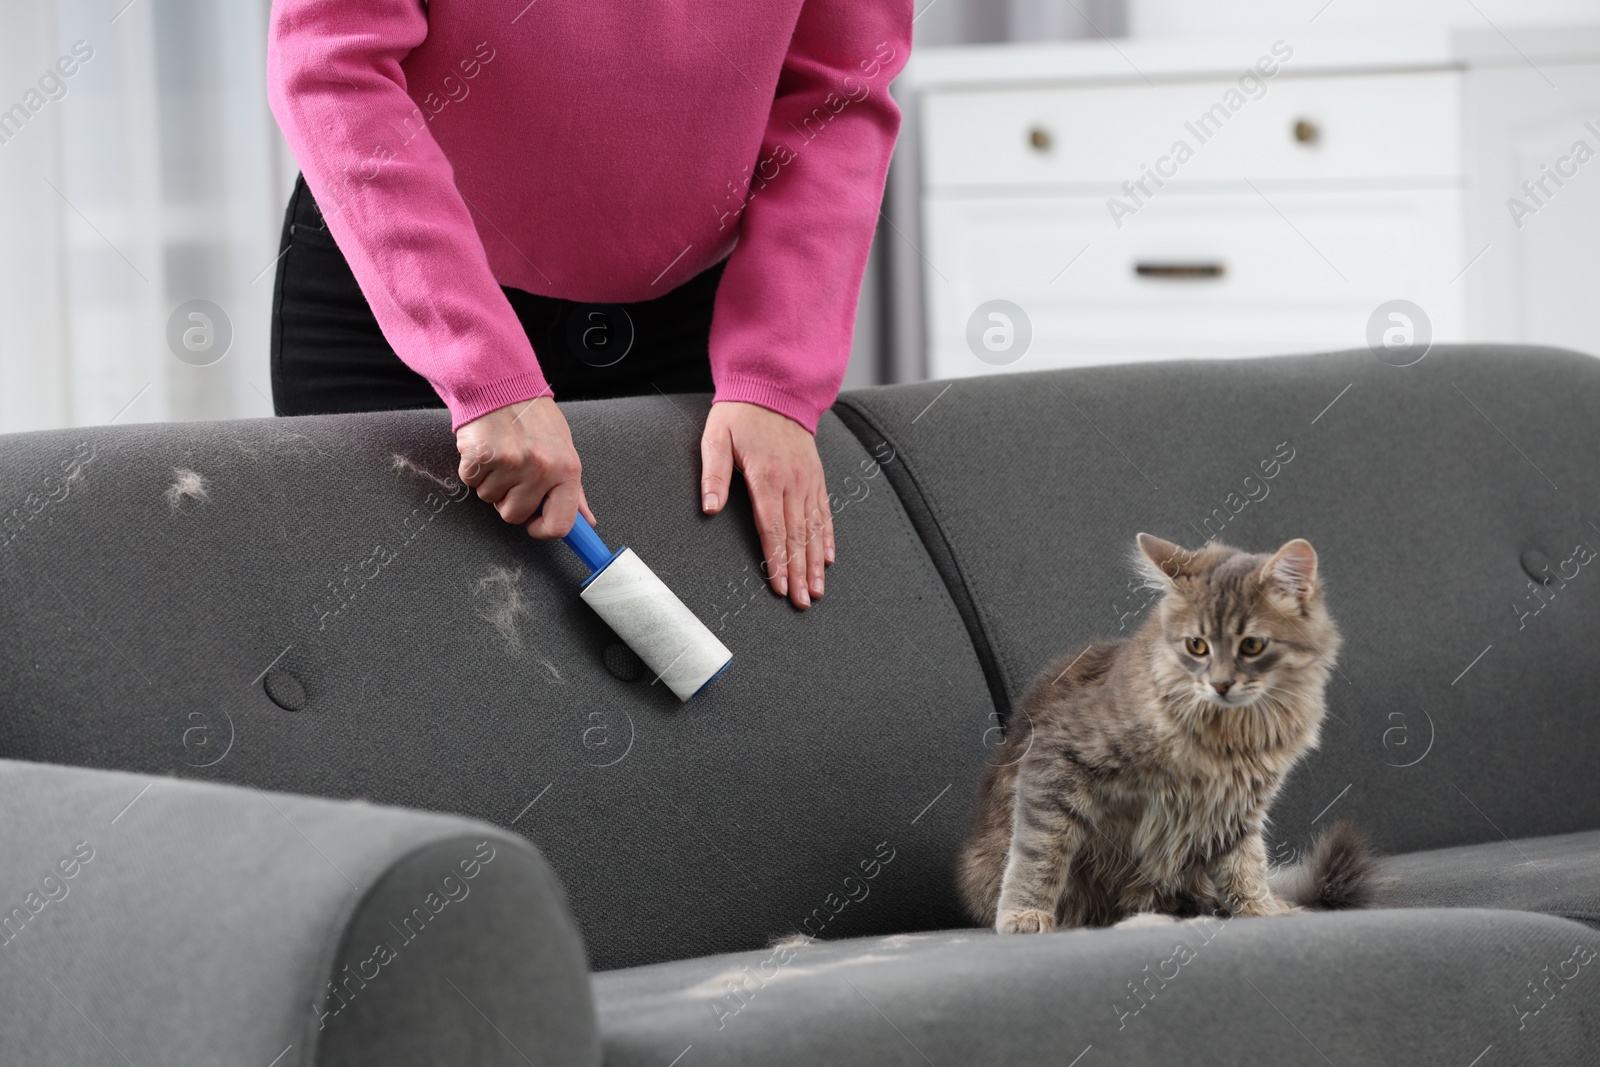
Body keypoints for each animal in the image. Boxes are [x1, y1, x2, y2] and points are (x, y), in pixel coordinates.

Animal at [953, 534, 1382, 934]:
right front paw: (1024, 914)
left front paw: (1262, 909)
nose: (1220, 685)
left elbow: (1245, 864)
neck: (1233, 734)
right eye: (1197, 645)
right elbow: (1038, 851)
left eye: (1251, 645)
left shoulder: (1238, 804)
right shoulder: (1056, 753)